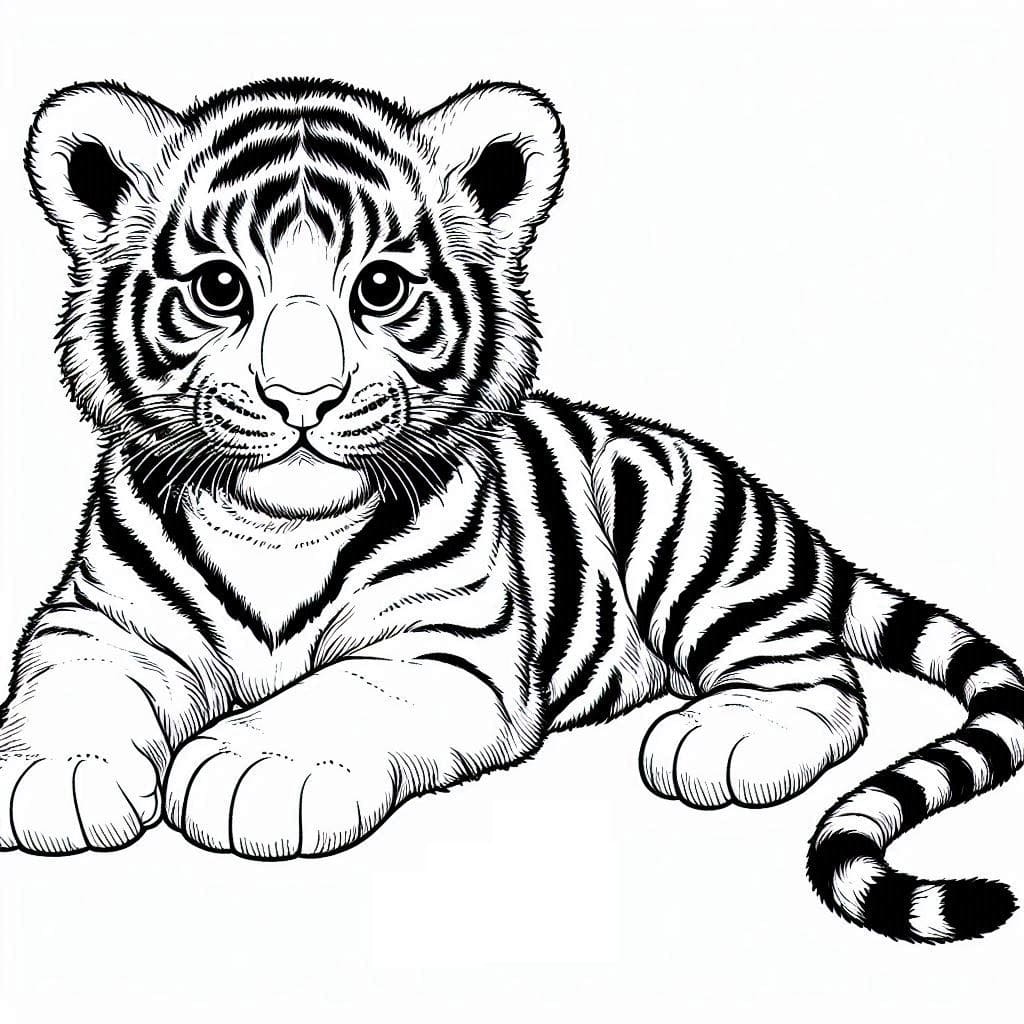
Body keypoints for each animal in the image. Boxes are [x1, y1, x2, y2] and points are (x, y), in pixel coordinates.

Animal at [3, 76, 1022, 945]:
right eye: (220, 288)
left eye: (379, 288)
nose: (304, 398)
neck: (281, 530)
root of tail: (777, 508)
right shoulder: (97, 618)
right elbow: (70, 685)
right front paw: (58, 777)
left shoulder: (447, 649)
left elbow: (339, 696)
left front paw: (255, 769)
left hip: (686, 549)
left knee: (823, 683)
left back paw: (721, 738)